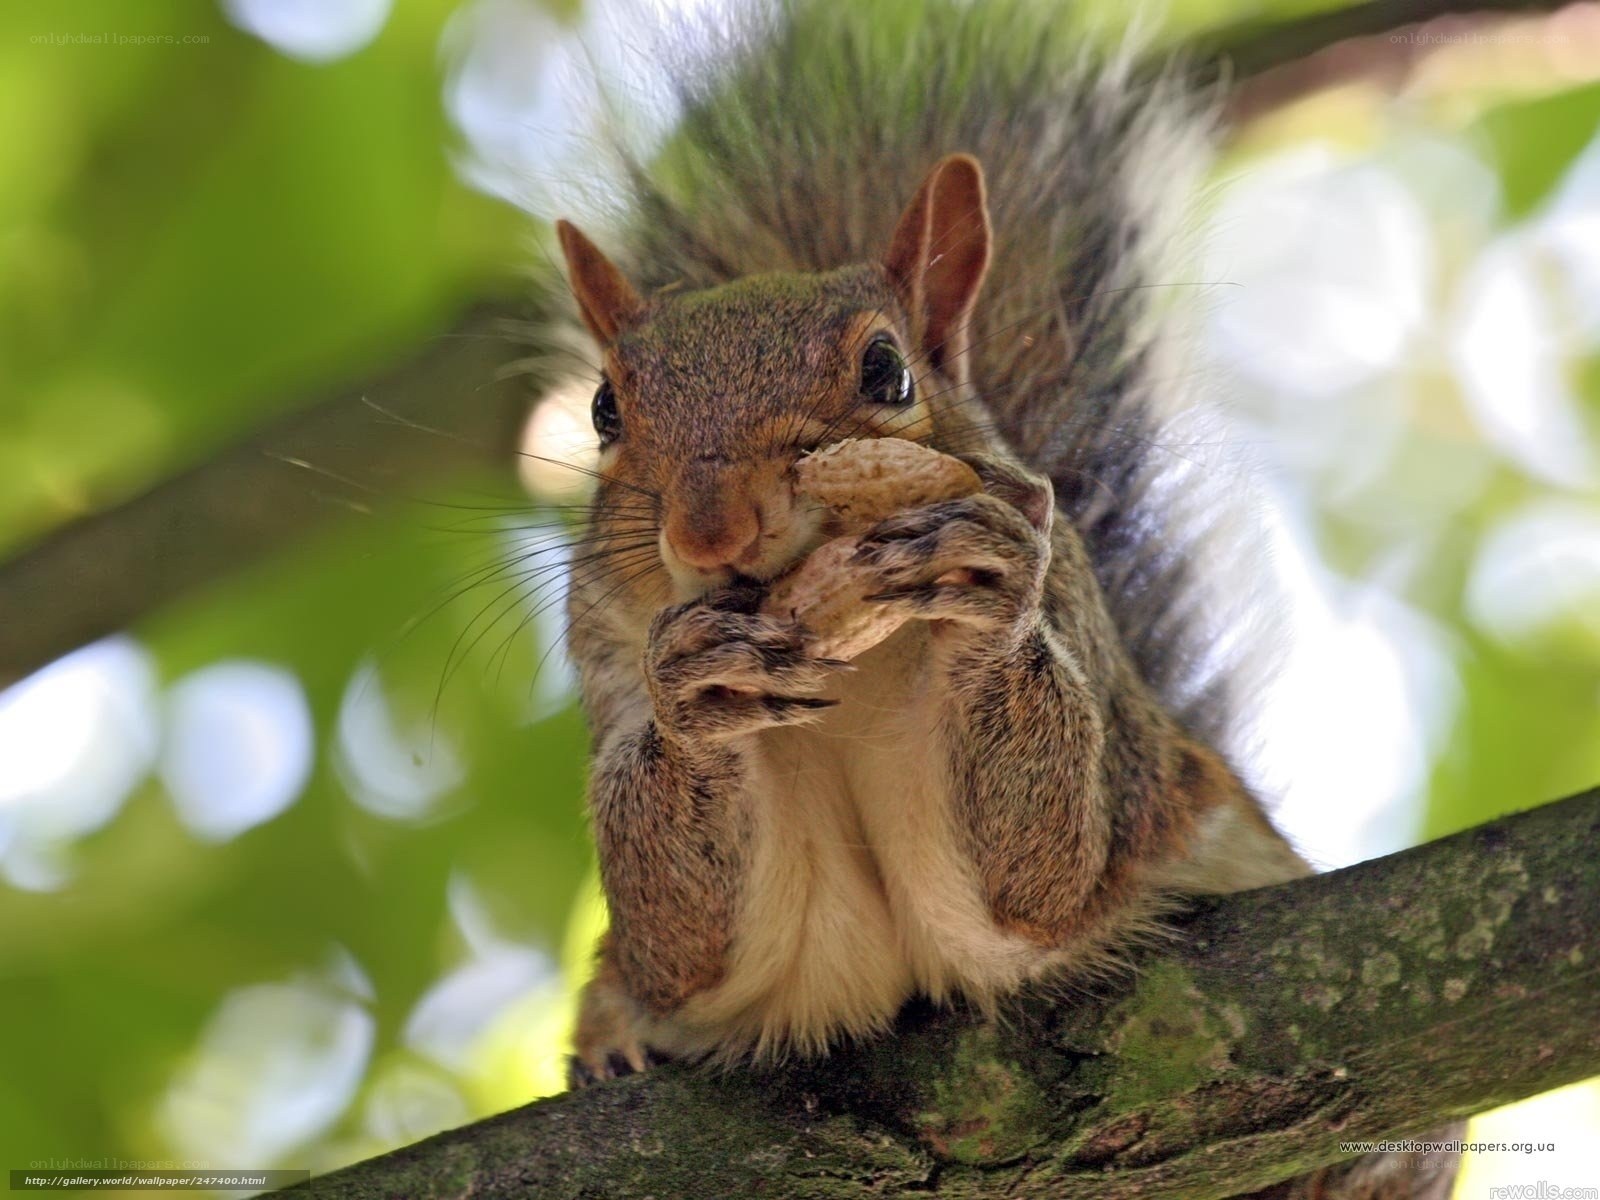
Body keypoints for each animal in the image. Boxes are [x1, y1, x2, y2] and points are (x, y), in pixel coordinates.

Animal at [543, 2, 1457, 1196]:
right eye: (604, 409)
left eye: (887, 371)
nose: (710, 532)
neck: (859, 669)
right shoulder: (610, 665)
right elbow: (676, 948)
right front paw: (694, 702)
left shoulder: (1076, 648)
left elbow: (1043, 878)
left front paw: (985, 592)